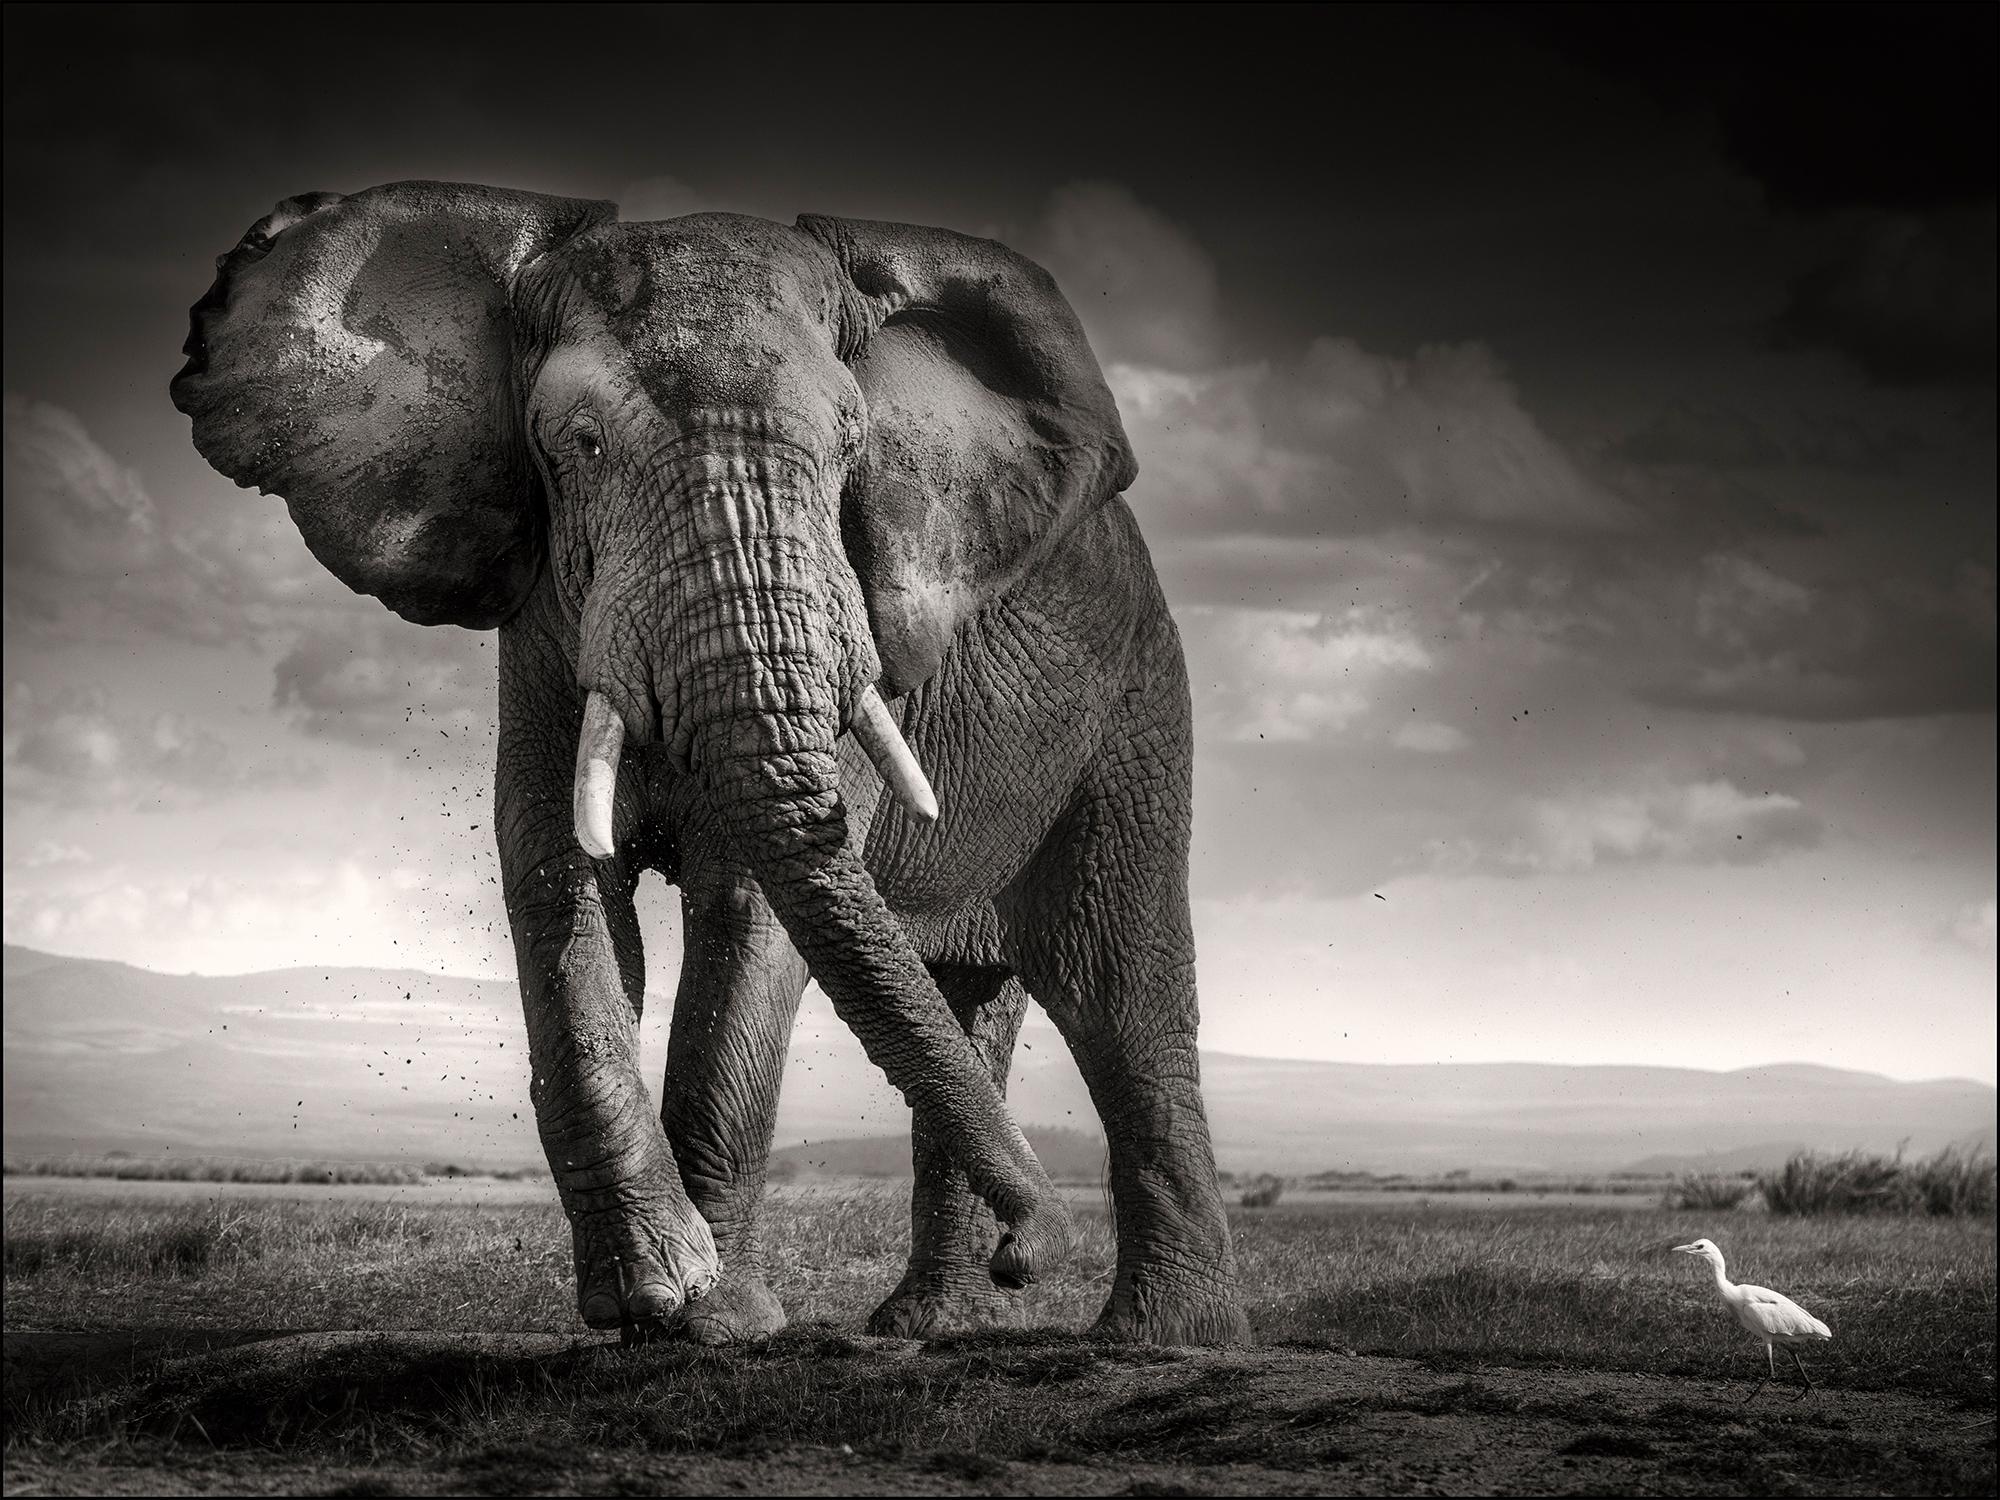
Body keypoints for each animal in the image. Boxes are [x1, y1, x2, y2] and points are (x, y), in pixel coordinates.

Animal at [168, 179, 1248, 1352]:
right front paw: (656, 1299)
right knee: (974, 1003)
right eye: (582, 444)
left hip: (1138, 708)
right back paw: (925, 1327)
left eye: (852, 445)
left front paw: (720, 1319)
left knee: (1119, 997)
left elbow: (745, 908)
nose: (1031, 1250)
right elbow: (562, 889)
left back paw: (1164, 1337)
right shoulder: (542, 624)